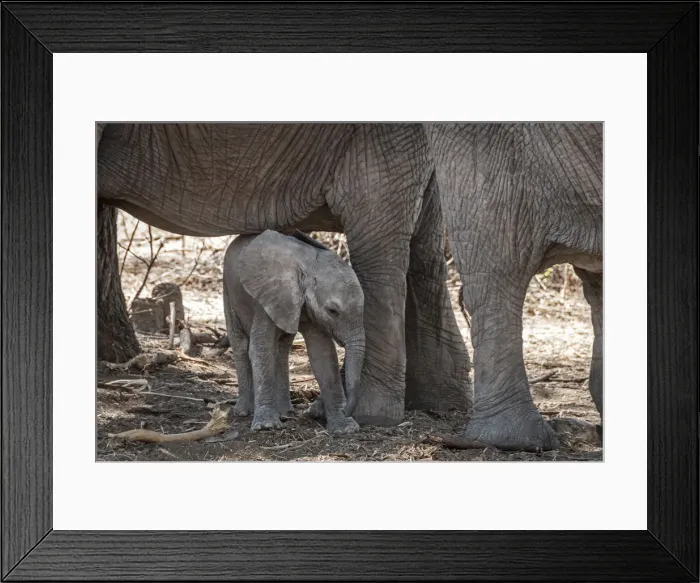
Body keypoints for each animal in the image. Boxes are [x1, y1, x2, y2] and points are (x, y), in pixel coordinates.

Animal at [223, 229, 363, 434]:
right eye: (333, 311)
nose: (347, 410)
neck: (309, 266)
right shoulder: (268, 297)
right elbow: (260, 349)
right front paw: (266, 426)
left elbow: (322, 353)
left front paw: (345, 428)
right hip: (228, 289)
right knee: (240, 344)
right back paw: (243, 411)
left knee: (282, 348)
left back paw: (285, 412)